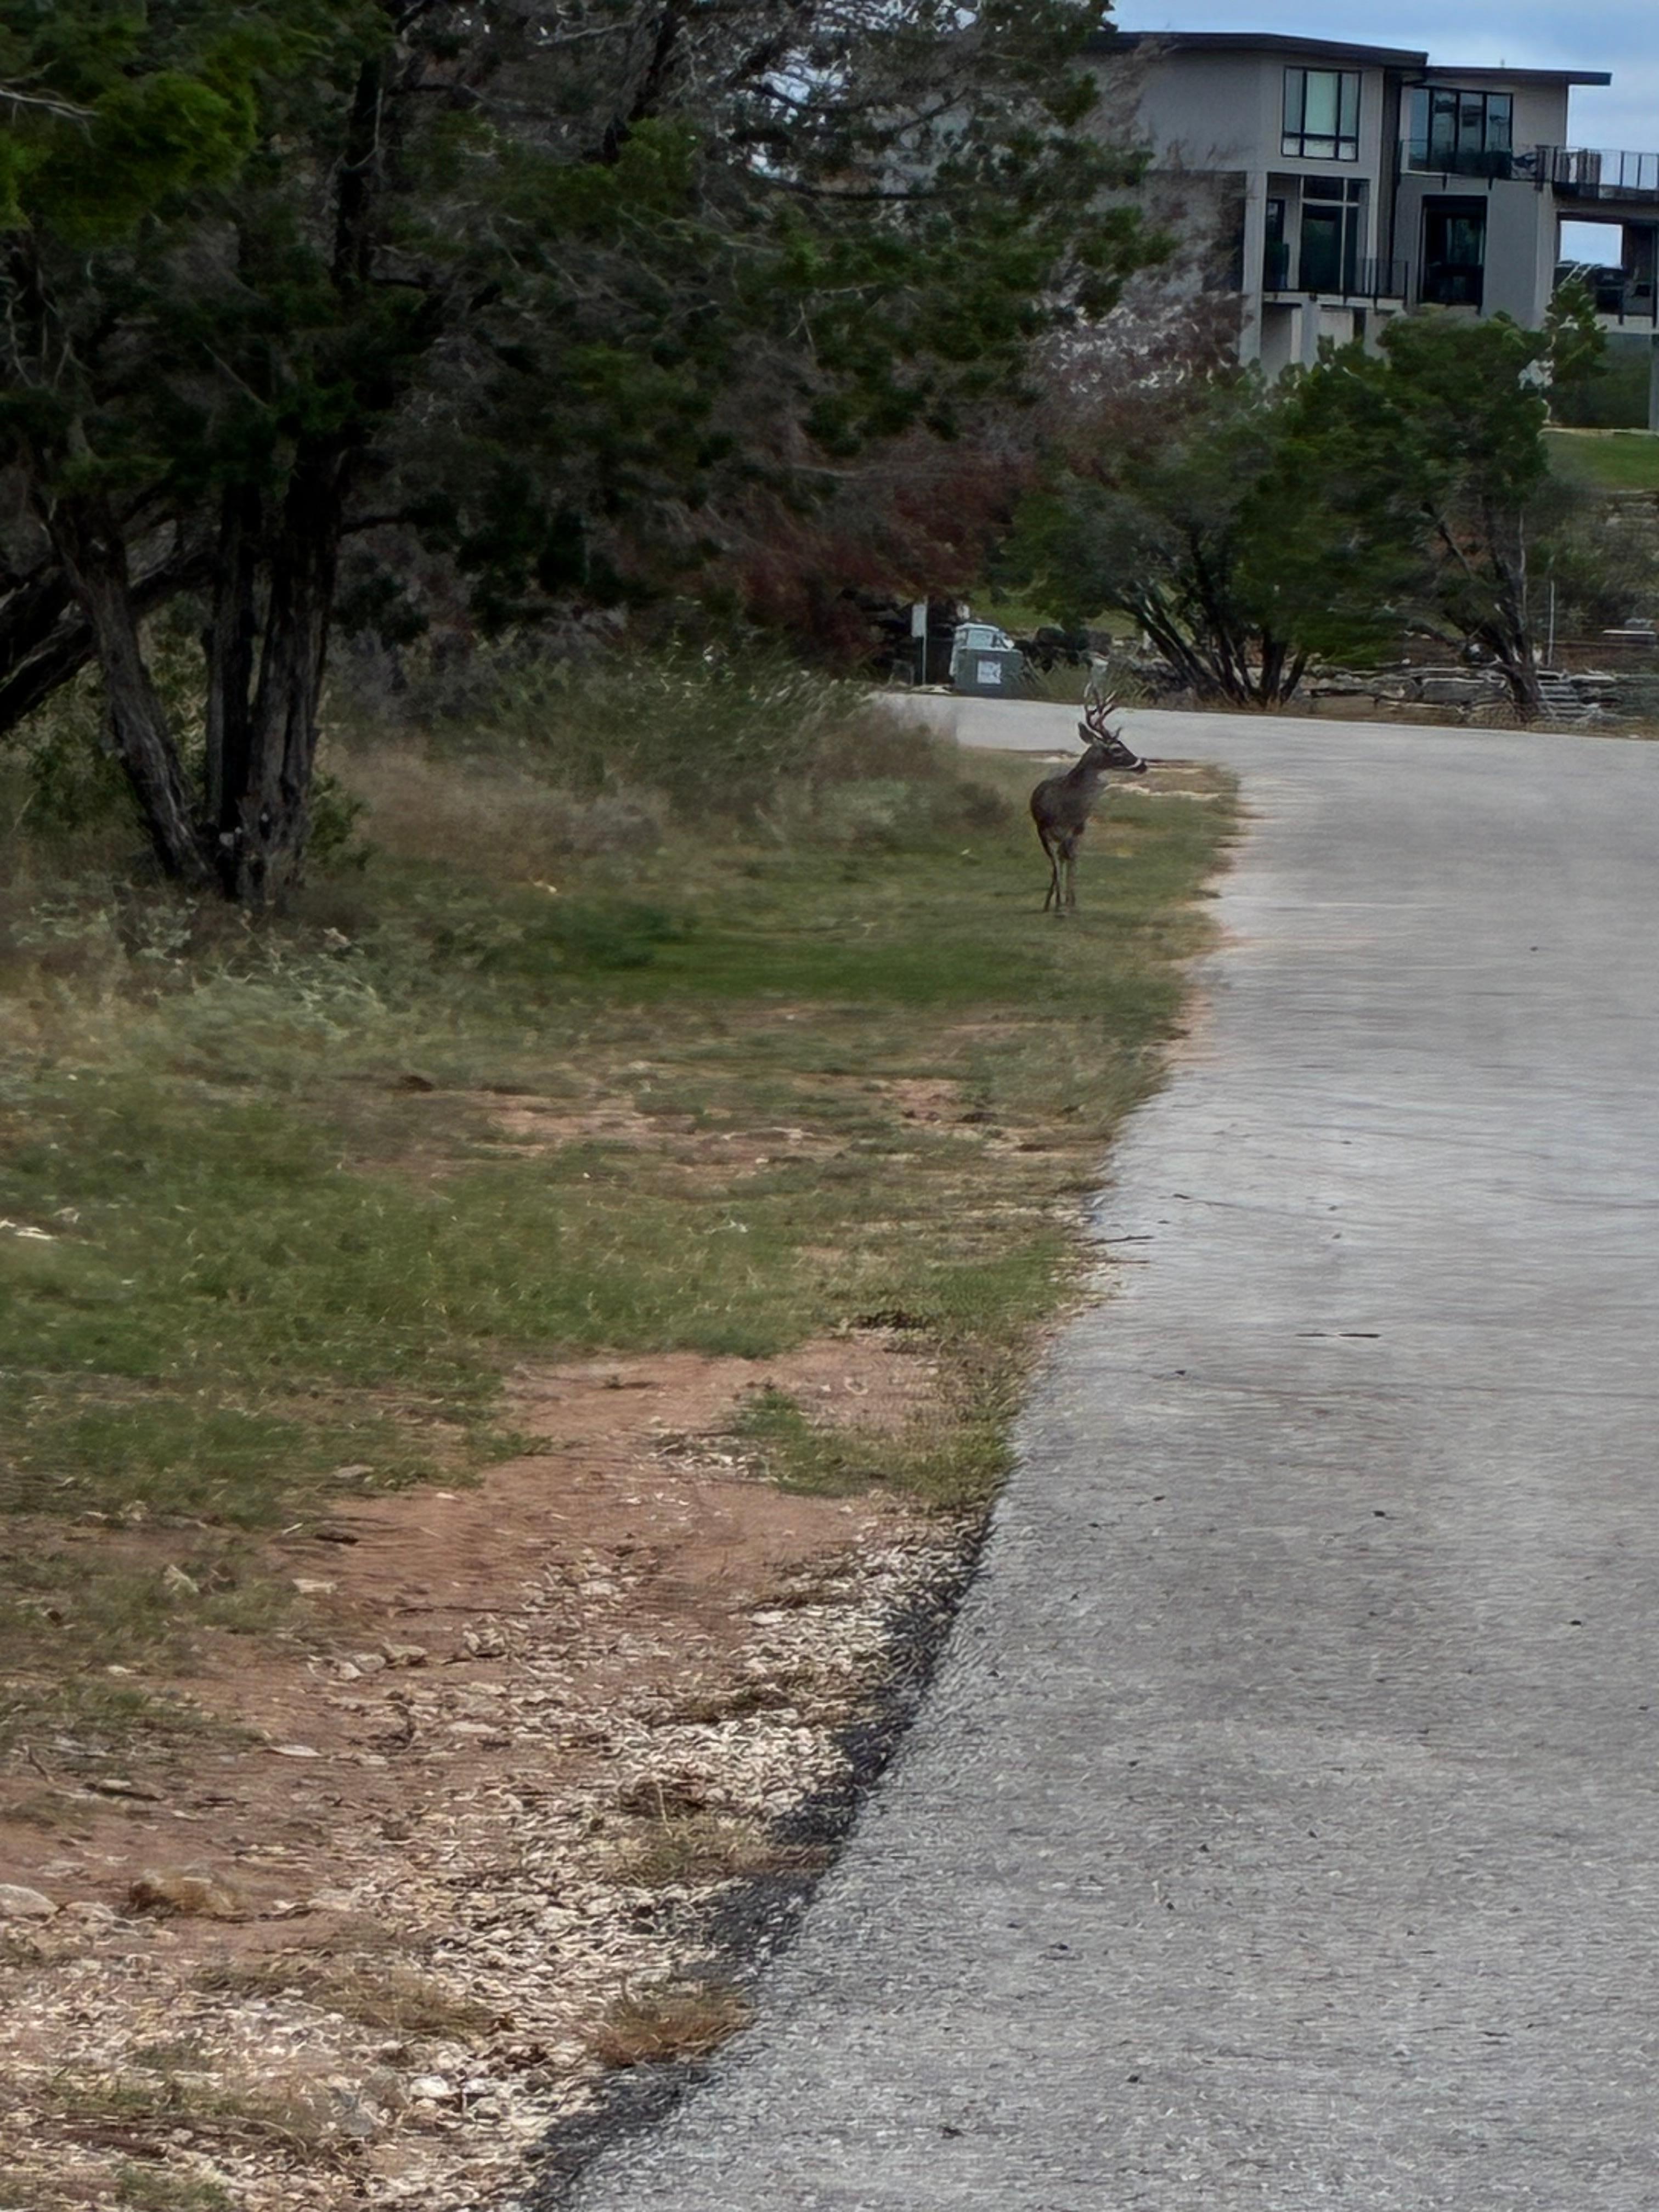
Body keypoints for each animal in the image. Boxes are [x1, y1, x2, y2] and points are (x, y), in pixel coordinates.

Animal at [1030, 684, 1148, 915]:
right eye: (1116, 748)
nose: (1142, 765)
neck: (1069, 806)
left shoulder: (1078, 828)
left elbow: (1072, 860)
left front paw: (1071, 903)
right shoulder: (1045, 829)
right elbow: (1056, 863)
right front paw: (1059, 904)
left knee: (1066, 857)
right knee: (1058, 860)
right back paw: (1050, 902)